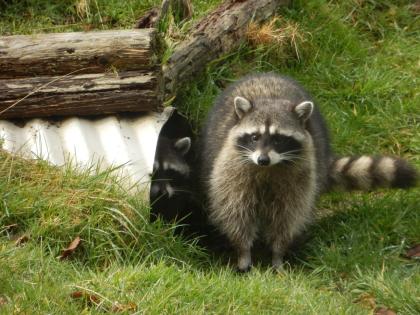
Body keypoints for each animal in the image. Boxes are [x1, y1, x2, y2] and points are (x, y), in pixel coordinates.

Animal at [200, 73, 416, 272]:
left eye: (278, 139)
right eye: (255, 137)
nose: (263, 159)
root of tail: (267, 73)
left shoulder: (300, 174)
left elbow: (289, 217)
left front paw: (278, 253)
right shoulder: (231, 170)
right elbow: (236, 212)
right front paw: (243, 251)